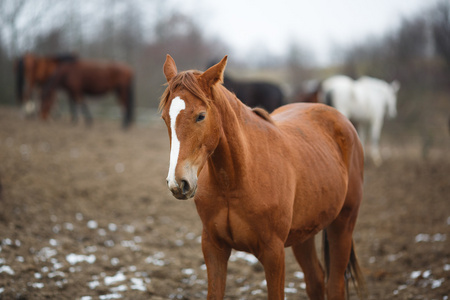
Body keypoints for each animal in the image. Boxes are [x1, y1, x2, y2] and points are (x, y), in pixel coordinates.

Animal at [158, 55, 366, 298]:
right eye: (165, 118)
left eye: (201, 116)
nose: (178, 183)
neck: (236, 180)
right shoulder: (213, 247)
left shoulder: (273, 253)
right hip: (304, 234)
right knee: (315, 280)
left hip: (343, 225)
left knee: (335, 284)